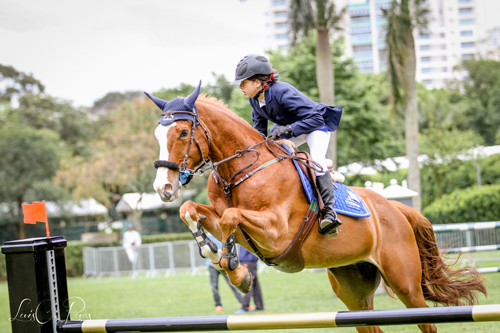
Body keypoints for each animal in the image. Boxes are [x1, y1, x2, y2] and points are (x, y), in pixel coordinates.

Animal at [146, 81, 486, 330]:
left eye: (183, 132)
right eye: (157, 134)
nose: (163, 188)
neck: (241, 169)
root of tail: (397, 209)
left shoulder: (276, 232)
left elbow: (231, 216)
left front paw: (235, 269)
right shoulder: (228, 221)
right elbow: (190, 211)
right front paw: (215, 254)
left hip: (406, 285)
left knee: (425, 318)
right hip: (353, 290)